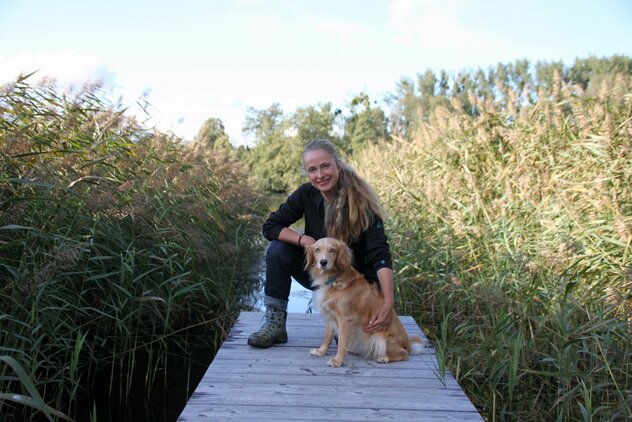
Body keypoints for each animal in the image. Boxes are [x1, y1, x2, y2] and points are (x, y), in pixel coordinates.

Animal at [304, 237, 424, 366]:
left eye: (332, 250)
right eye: (317, 250)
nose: (323, 262)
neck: (333, 277)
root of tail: (408, 345)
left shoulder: (345, 319)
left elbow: (342, 342)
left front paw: (338, 361)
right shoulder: (330, 315)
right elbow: (327, 336)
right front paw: (321, 351)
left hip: (380, 338)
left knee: (404, 354)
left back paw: (385, 358)